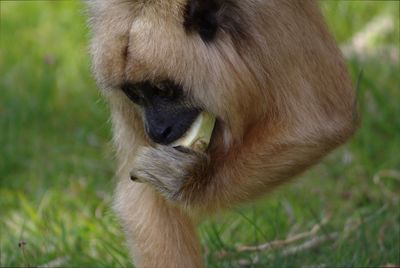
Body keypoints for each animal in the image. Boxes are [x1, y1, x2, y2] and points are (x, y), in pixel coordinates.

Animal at [86, 1, 356, 266]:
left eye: (163, 90)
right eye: (135, 94)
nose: (156, 130)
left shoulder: (272, 16)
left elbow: (321, 121)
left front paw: (194, 179)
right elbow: (143, 197)